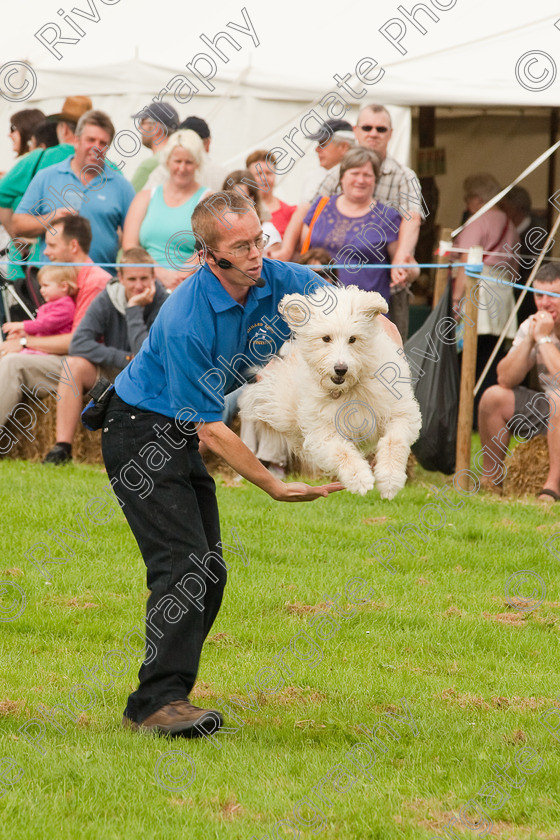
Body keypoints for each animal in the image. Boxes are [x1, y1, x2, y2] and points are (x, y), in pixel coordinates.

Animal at [238, 288, 422, 498]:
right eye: (326, 338)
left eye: (352, 339)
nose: (340, 369)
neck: (347, 390)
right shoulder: (321, 430)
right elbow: (341, 452)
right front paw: (360, 479)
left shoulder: (400, 413)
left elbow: (394, 441)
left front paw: (390, 480)